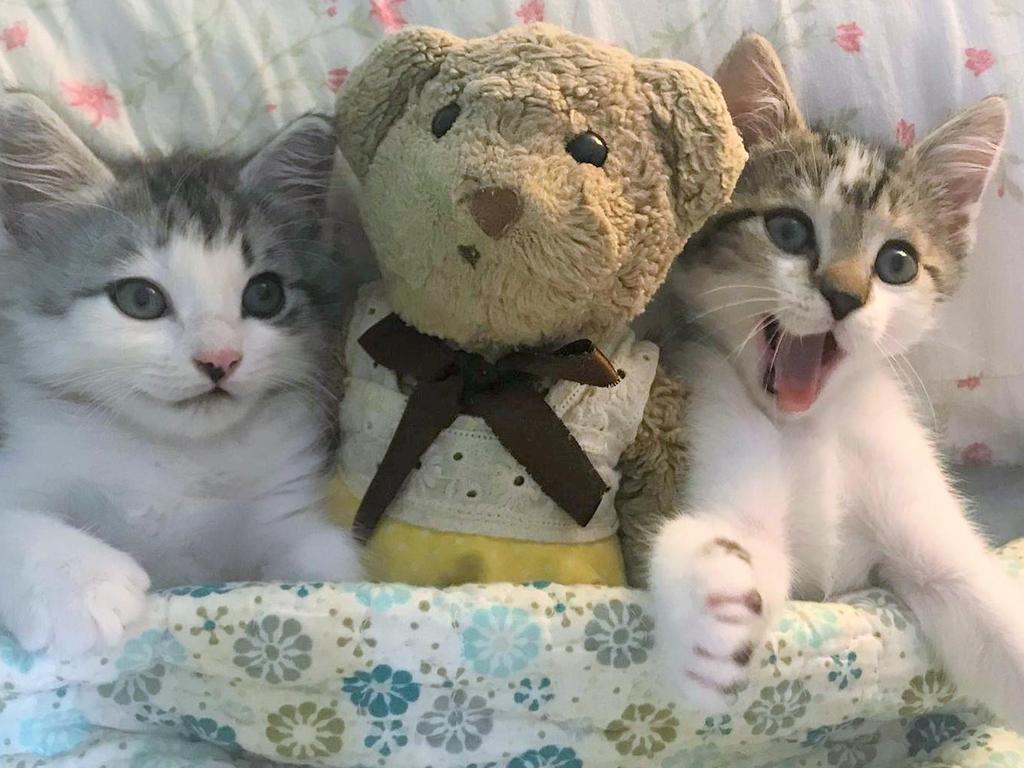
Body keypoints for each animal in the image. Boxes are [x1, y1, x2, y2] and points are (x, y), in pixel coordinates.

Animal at [0, 93, 364, 659]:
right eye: (141, 299)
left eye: (264, 294)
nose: (220, 359)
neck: (174, 458)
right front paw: (82, 582)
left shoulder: (282, 505)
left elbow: (325, 558)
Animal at [647, 37, 1024, 733]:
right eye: (789, 229)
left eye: (897, 262)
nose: (844, 296)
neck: (809, 428)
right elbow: (732, 542)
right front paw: (710, 610)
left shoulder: (929, 529)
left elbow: (982, 604)